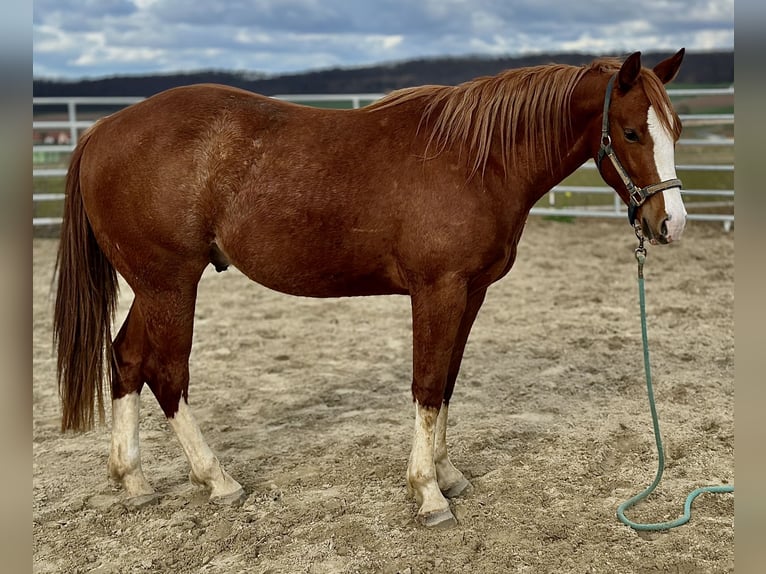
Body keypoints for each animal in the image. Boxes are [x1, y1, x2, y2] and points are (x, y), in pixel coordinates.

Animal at [54, 49, 686, 527]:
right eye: (631, 131)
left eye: (676, 130)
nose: (671, 224)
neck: (478, 161)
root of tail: (102, 130)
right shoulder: (438, 291)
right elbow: (427, 385)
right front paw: (427, 493)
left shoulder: (471, 293)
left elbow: (447, 382)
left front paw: (448, 475)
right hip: (170, 285)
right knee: (167, 373)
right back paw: (219, 480)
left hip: (152, 287)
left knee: (126, 359)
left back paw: (134, 481)